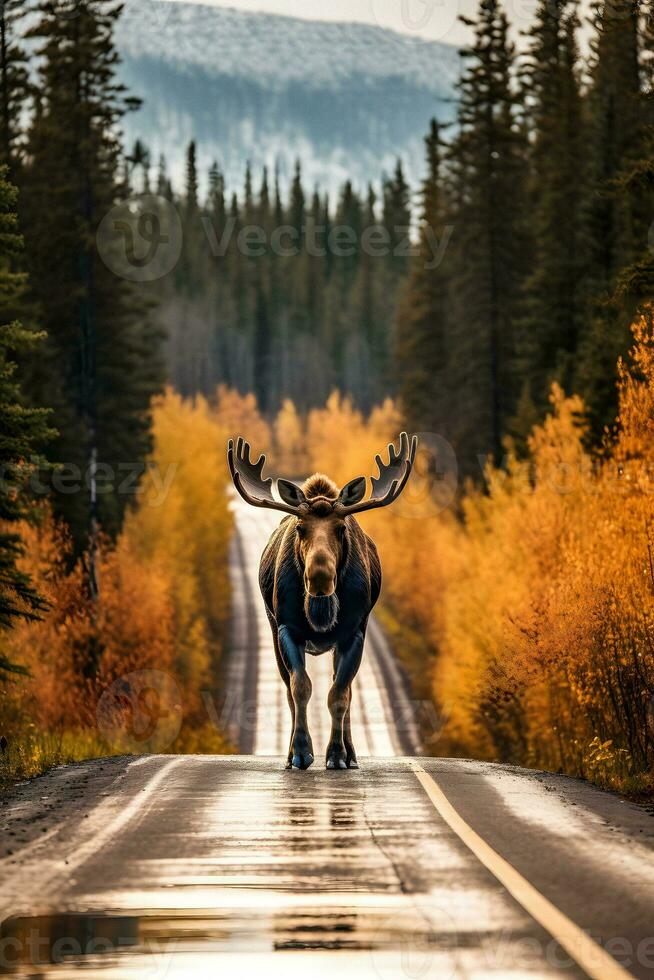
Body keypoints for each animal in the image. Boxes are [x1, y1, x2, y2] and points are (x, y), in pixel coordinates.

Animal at [228, 432, 418, 768]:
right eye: (300, 528)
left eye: (341, 528)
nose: (319, 577)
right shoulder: (287, 628)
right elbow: (300, 687)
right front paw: (301, 752)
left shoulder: (354, 632)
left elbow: (339, 693)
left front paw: (338, 754)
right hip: (273, 628)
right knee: (289, 690)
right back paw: (290, 753)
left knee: (346, 689)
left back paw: (351, 753)